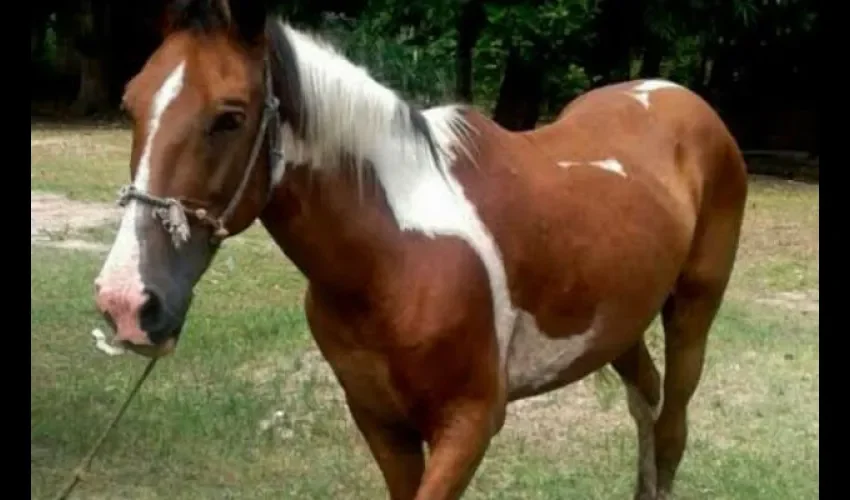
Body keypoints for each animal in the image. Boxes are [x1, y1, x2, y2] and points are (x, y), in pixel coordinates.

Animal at [92, 1, 748, 498]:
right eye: (130, 104)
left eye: (229, 117)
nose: (127, 302)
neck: (395, 255)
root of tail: (678, 96)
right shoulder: (382, 423)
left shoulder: (470, 424)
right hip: (619, 322)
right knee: (646, 401)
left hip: (693, 312)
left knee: (671, 427)